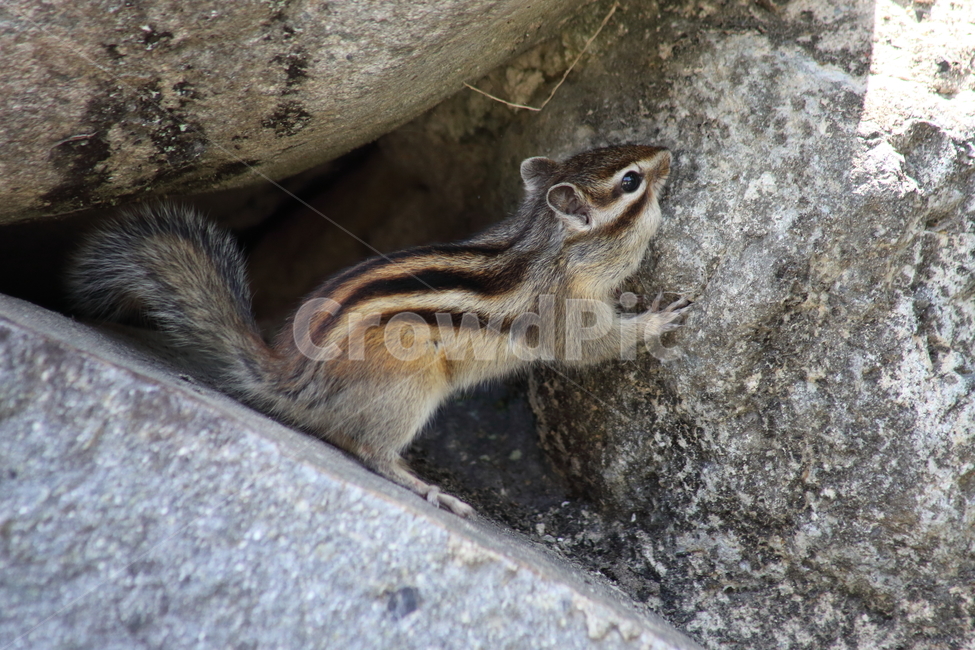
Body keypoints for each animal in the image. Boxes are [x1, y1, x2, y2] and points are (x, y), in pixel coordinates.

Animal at [68, 144, 688, 517]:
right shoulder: (563, 309)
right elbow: (591, 346)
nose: (667, 152)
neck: (550, 246)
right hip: (408, 385)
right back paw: (429, 488)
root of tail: (292, 382)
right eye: (631, 181)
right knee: (366, 449)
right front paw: (660, 317)